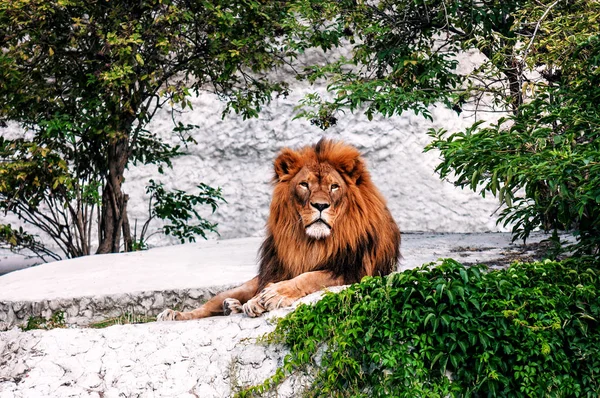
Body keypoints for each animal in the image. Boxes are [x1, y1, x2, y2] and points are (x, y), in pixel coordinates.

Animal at [157, 138, 400, 322]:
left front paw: (273, 295)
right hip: (246, 284)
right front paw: (258, 301)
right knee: (211, 302)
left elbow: (309, 277)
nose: (320, 205)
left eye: (334, 186)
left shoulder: (353, 271)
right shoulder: (279, 269)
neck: (313, 242)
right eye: (304, 184)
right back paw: (178, 314)